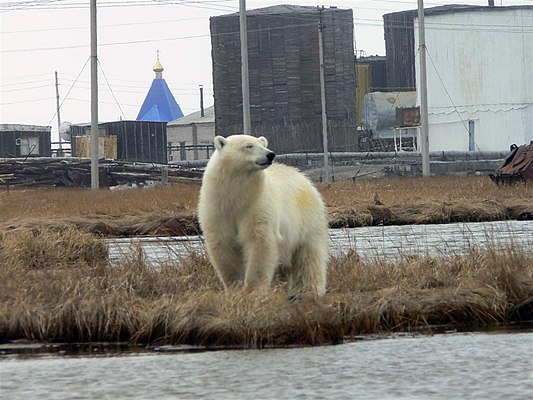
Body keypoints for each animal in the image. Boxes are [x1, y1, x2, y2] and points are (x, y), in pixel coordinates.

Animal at [197, 134, 328, 294]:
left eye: (263, 144)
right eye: (249, 146)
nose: (270, 154)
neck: (237, 196)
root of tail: (304, 178)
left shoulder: (258, 205)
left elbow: (260, 242)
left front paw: (254, 289)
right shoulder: (217, 209)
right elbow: (224, 245)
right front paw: (235, 287)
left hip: (307, 220)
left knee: (309, 257)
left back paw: (310, 290)